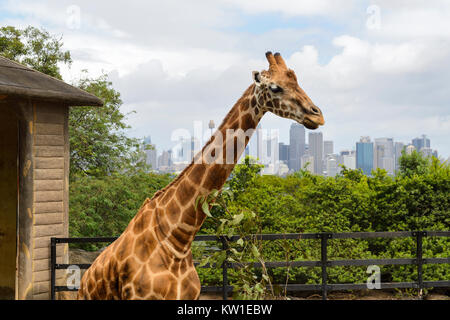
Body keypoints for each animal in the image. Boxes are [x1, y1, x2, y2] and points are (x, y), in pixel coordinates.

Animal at [77, 52, 324, 300]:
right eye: (275, 87)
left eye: (297, 82)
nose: (317, 115)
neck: (178, 239)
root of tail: (84, 280)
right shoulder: (140, 296)